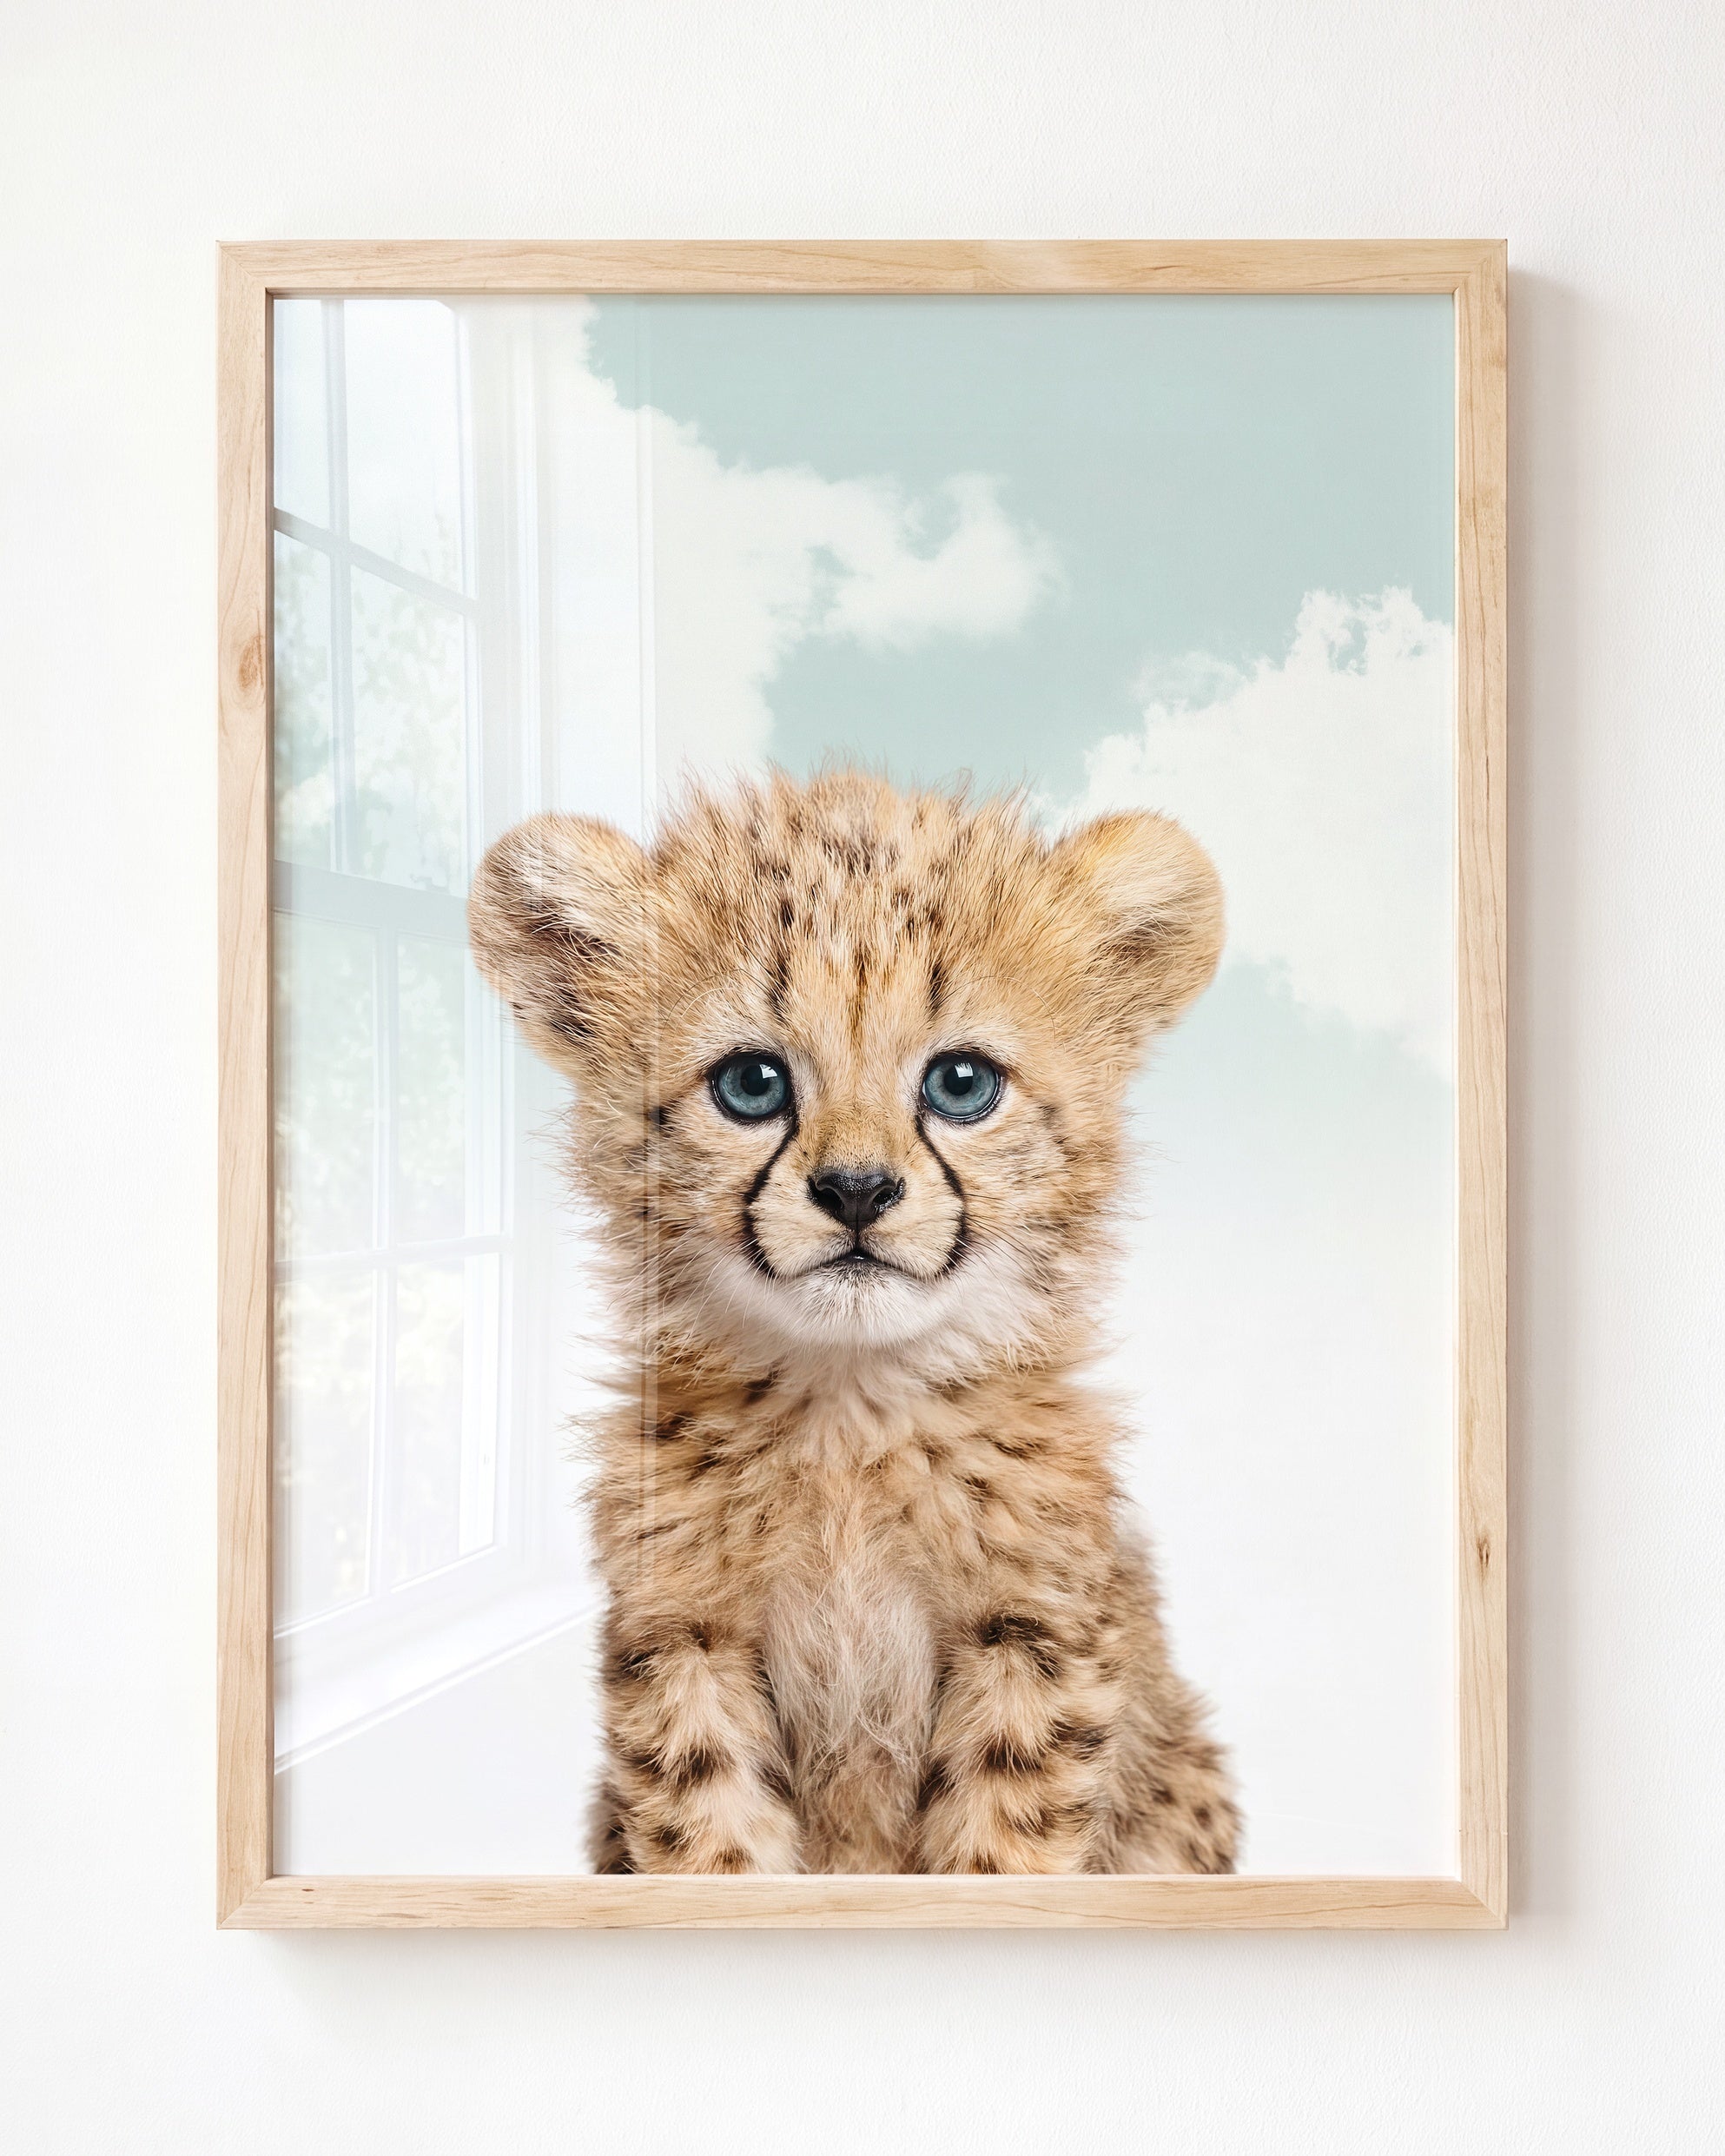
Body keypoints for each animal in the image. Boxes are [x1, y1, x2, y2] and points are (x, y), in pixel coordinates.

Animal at [469, 767, 1239, 1874]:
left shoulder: (1033, 1634)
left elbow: (999, 1849)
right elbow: (711, 1842)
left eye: (961, 1083)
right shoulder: (685, 1635)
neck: (850, 1407)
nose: (858, 1190)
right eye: (752, 1083)